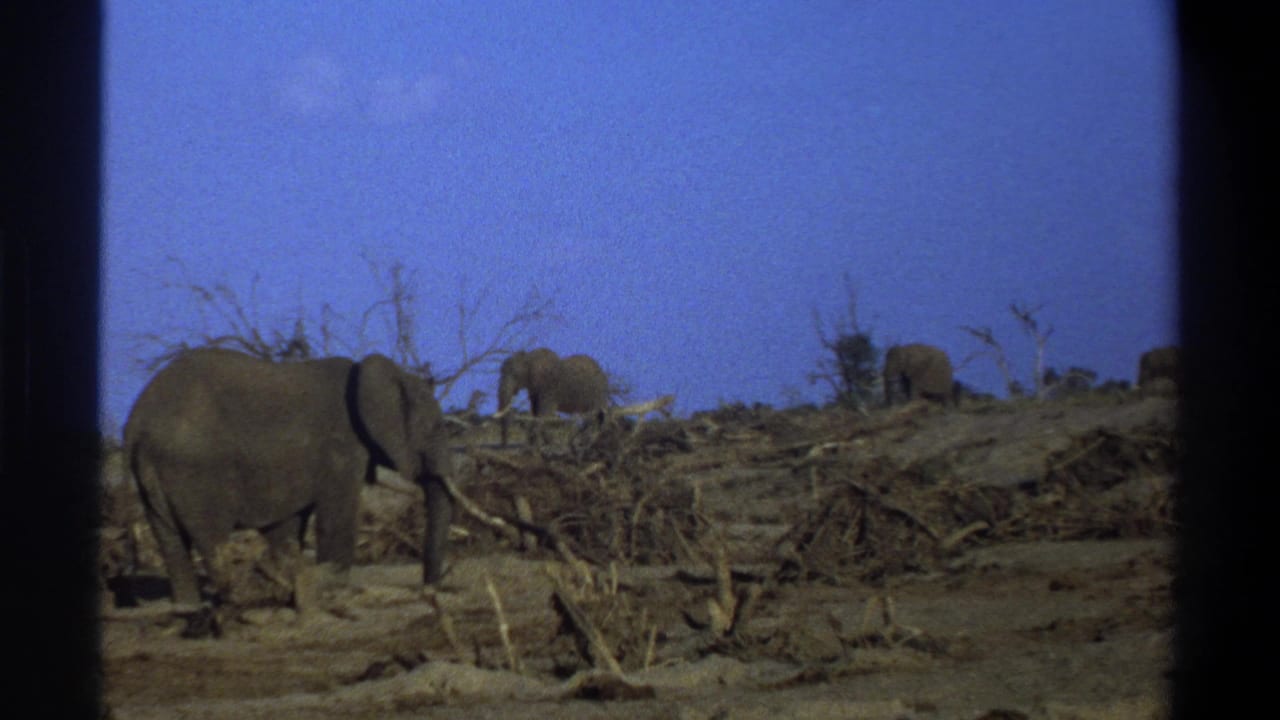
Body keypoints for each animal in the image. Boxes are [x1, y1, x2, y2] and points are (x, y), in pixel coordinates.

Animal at [123, 348, 454, 608]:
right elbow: (337, 514)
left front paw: (293, 582)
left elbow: (287, 526)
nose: (429, 590)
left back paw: (187, 606)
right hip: (193, 471)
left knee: (170, 541)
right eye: (436, 428)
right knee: (213, 539)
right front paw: (331, 584)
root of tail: (137, 425)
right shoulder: (341, 448)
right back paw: (240, 599)